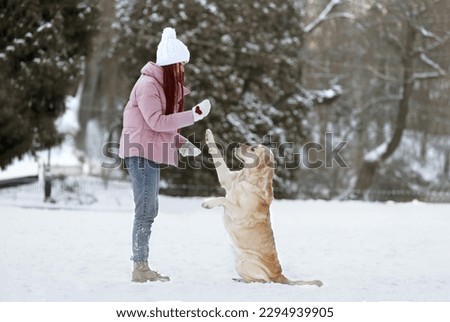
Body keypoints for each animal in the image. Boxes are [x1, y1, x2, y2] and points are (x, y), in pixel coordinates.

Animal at [202, 128, 322, 286]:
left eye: (253, 149)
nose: (237, 144)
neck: (247, 177)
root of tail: (280, 275)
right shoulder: (227, 179)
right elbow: (217, 154)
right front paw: (208, 135)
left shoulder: (239, 212)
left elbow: (224, 199)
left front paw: (208, 203)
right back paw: (239, 279)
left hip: (246, 263)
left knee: (264, 281)